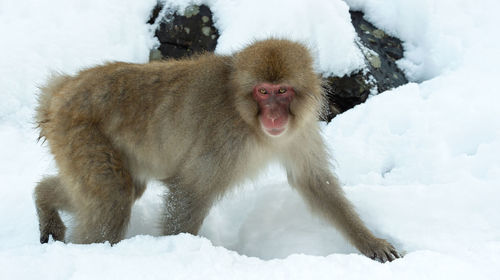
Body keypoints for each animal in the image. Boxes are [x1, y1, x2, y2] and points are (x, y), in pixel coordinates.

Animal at [33, 38, 400, 262]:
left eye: (282, 90)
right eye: (263, 92)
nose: (274, 115)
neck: (247, 119)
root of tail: (61, 89)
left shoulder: (299, 132)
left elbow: (314, 183)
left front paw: (371, 243)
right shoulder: (225, 139)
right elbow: (190, 191)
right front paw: (177, 250)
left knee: (118, 190)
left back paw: (43, 198)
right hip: (79, 133)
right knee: (113, 197)